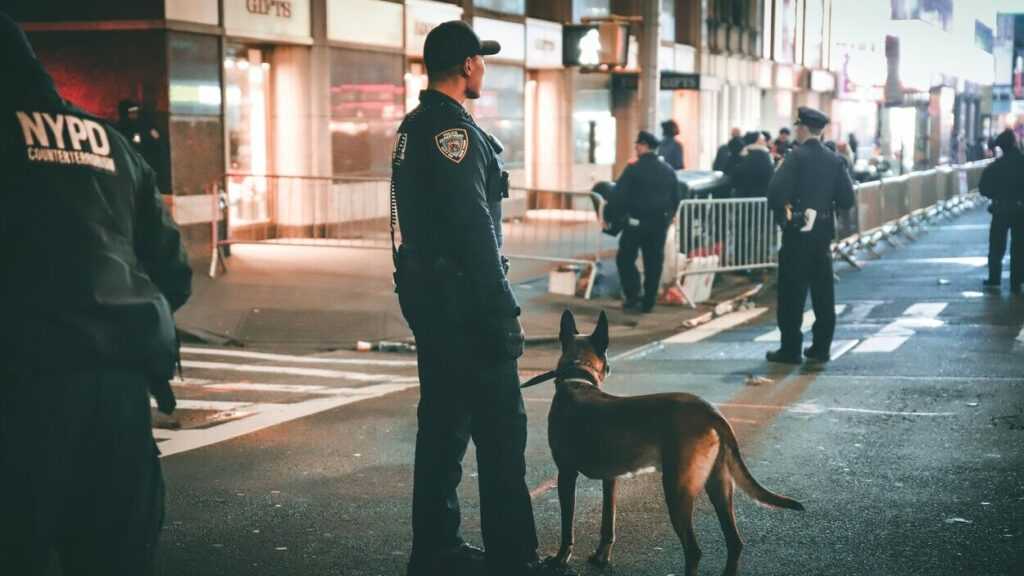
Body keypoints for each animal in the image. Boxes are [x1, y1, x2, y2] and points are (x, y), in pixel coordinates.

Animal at [528, 309, 806, 573]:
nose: (609, 368)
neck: (577, 378)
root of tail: (709, 411)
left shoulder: (566, 475)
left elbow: (567, 526)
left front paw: (561, 559)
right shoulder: (611, 480)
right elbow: (608, 524)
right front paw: (601, 558)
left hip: (677, 491)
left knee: (694, 551)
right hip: (719, 486)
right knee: (734, 542)